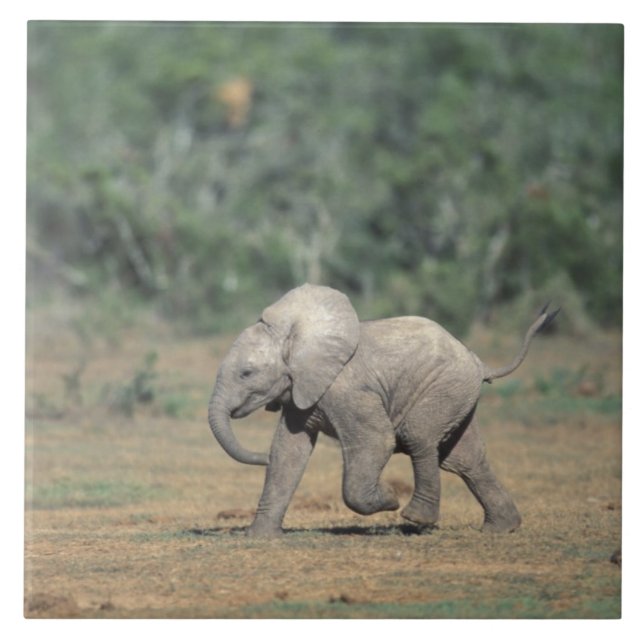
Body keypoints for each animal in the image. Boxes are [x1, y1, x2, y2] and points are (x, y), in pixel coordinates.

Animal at [207, 283, 558, 537]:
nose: (259, 457)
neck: (296, 337)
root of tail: (478, 361)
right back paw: (500, 529)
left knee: (420, 438)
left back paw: (415, 518)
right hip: (458, 395)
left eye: (246, 373)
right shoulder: (301, 389)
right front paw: (259, 537)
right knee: (464, 460)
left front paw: (388, 498)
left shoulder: (346, 389)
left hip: (443, 387)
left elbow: (376, 440)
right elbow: (288, 452)